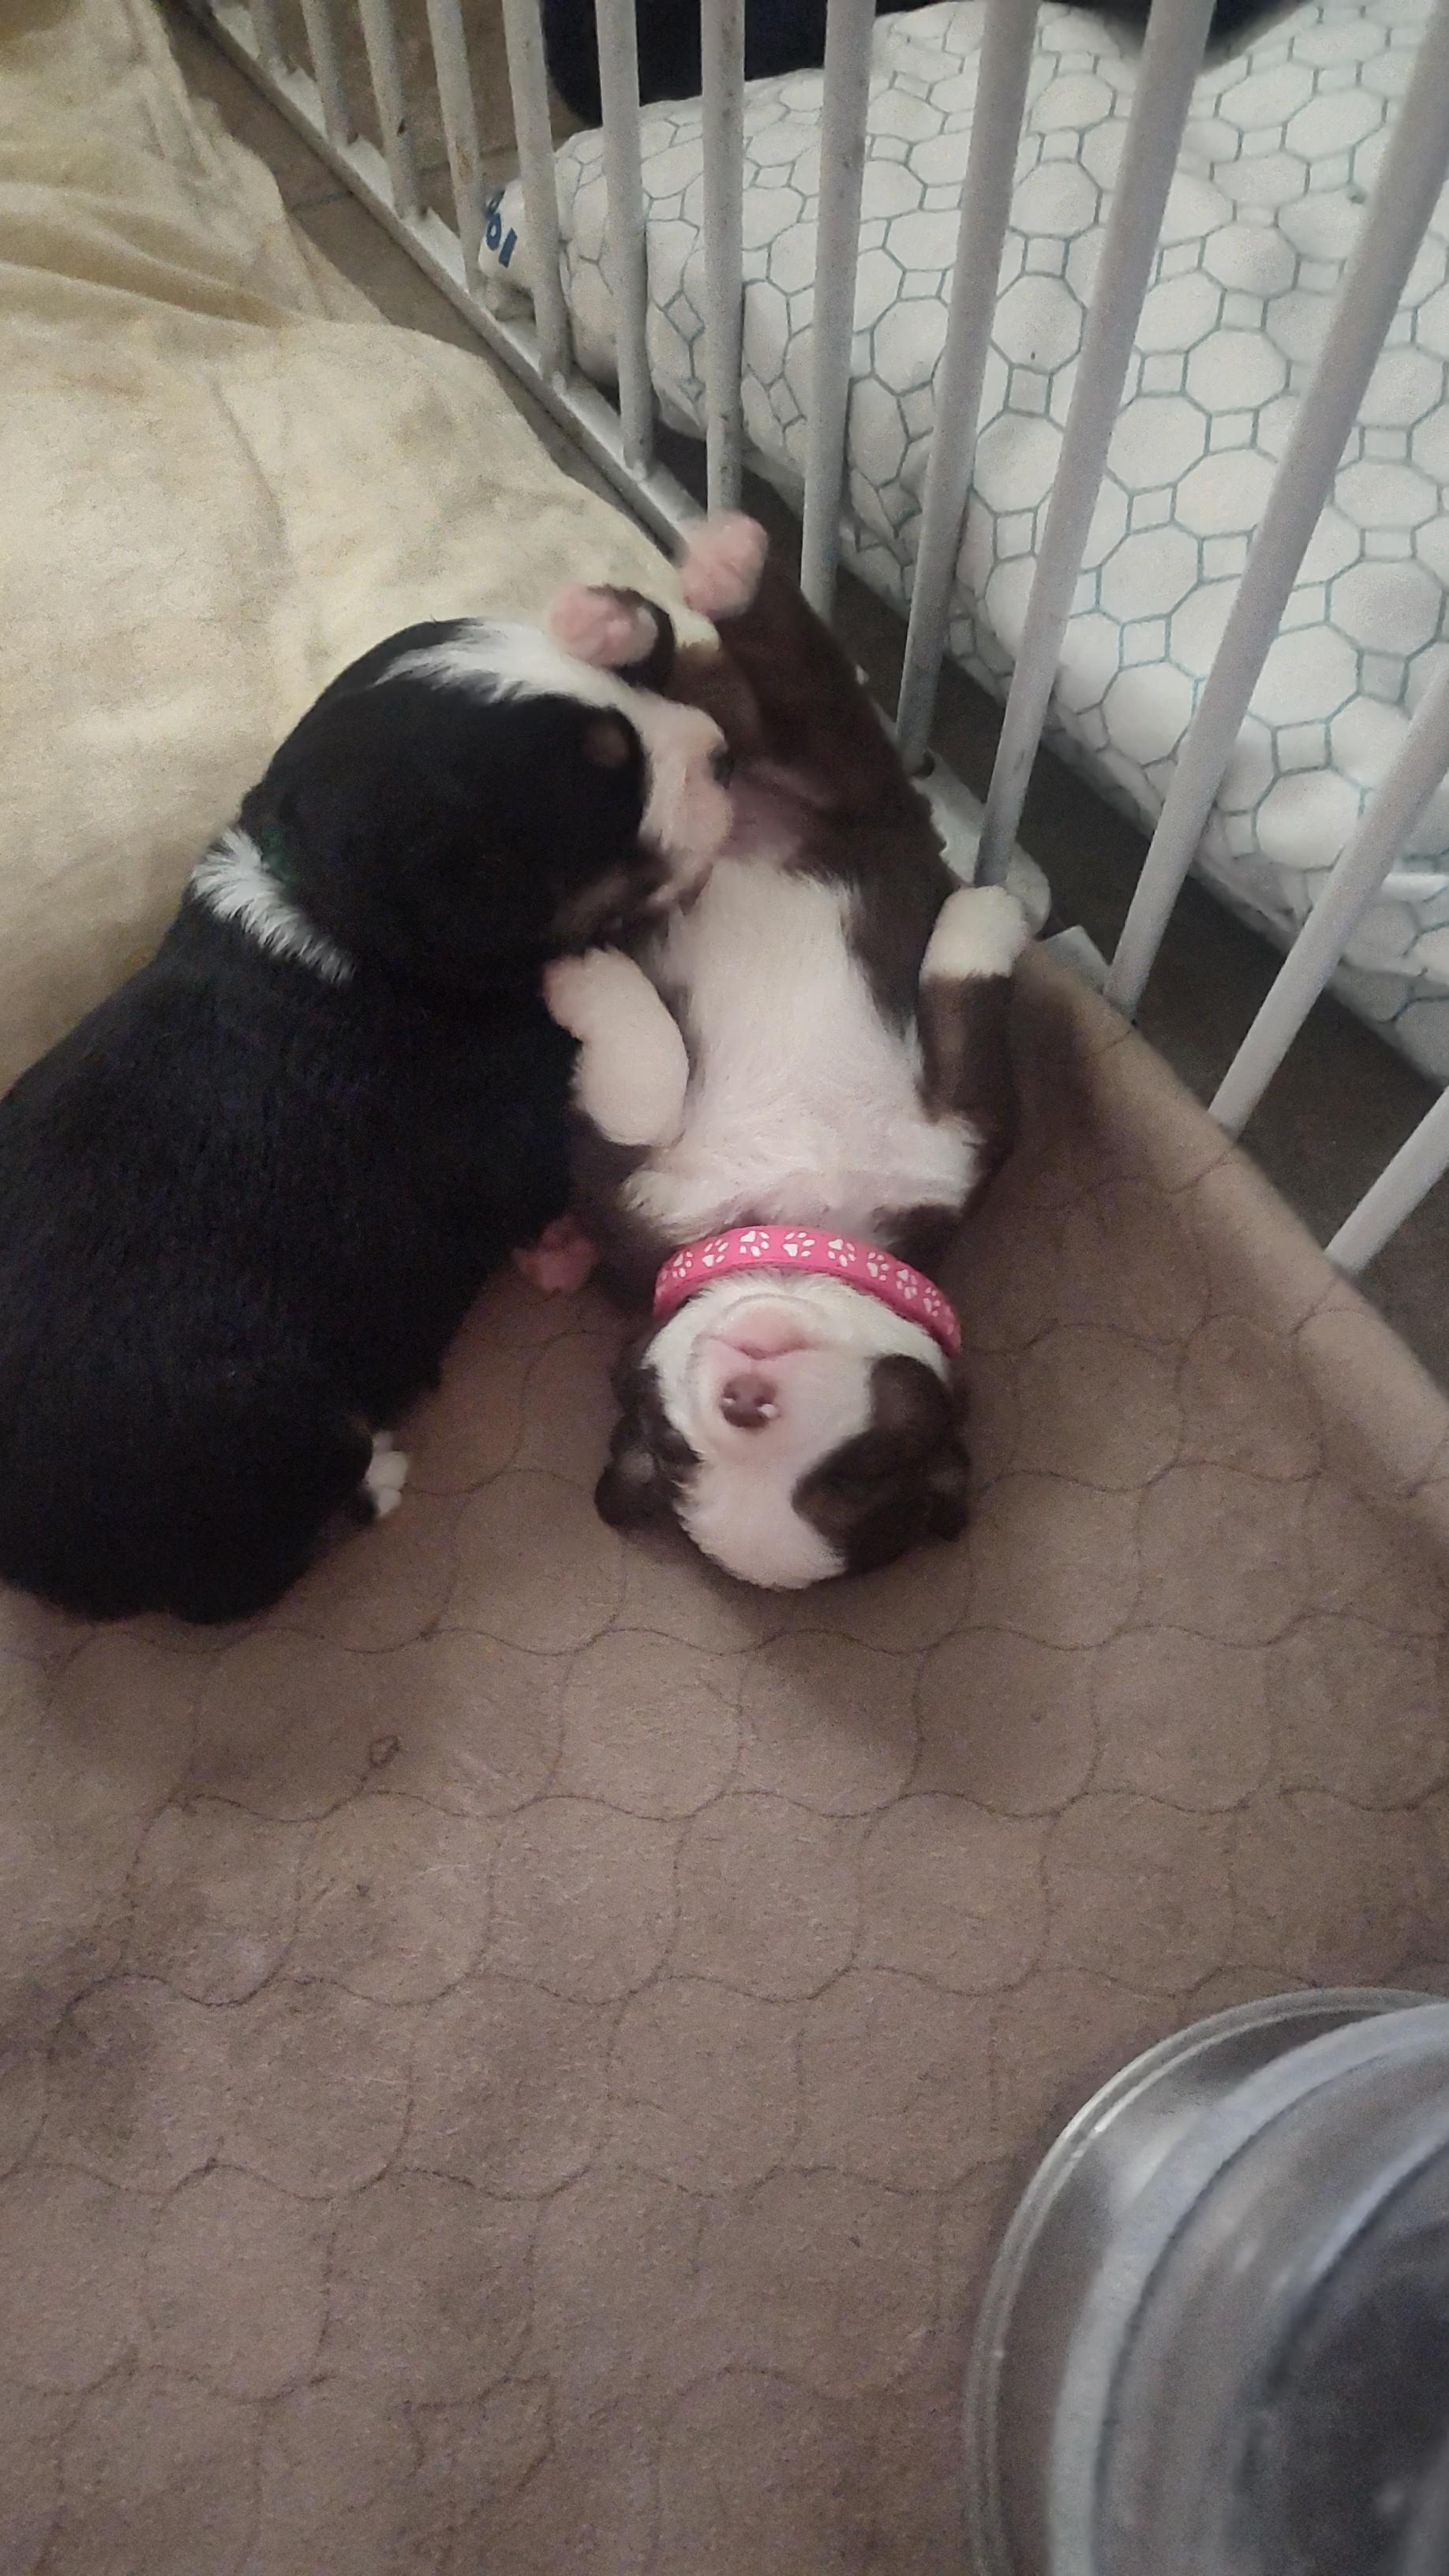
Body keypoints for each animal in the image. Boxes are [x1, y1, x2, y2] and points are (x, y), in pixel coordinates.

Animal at [0, 615, 732, 1624]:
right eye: (607, 785)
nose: (725, 752)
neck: (345, 923)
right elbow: (649, 1061)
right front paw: (585, 970)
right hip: (258, 1417)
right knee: (247, 1579)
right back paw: (382, 1470)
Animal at [534, 516, 1030, 1590]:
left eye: (859, 1471)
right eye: (677, 1449)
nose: (745, 1404)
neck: (798, 1209)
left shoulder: (963, 1147)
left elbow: (967, 1007)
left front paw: (989, 912)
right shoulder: (621, 1178)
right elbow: (645, 1079)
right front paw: (584, 973)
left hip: (844, 788)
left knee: (799, 697)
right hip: (838, 780)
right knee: (778, 680)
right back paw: (657, 598)